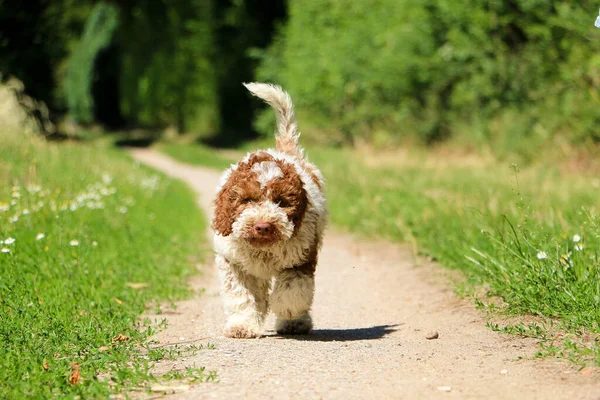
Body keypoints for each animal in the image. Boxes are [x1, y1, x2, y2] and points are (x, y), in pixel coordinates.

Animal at [213, 83, 328, 340]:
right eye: (246, 200)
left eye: (281, 202)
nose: (263, 226)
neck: (263, 249)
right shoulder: (234, 263)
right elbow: (241, 297)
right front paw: (242, 326)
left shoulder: (301, 256)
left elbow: (293, 290)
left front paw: (286, 311)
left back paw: (296, 323)